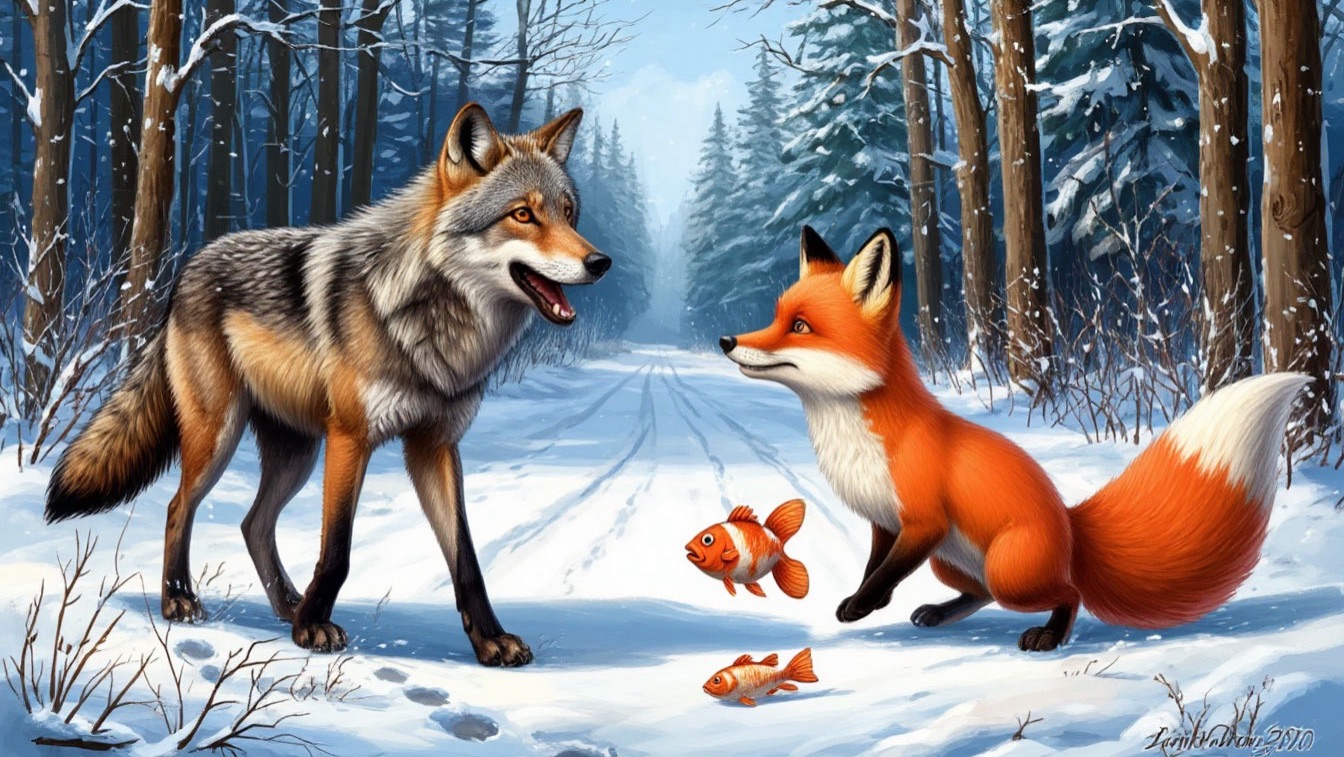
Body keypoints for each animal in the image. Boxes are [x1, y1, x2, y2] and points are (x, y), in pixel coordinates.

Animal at [44, 104, 609, 666]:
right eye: (523, 215)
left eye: (568, 213)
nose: (600, 262)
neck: (428, 321)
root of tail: (186, 270)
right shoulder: (350, 439)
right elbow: (337, 549)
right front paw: (313, 627)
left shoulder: (435, 446)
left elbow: (466, 559)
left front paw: (490, 638)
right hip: (219, 438)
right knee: (177, 507)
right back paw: (180, 599)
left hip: (296, 454)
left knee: (253, 524)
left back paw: (287, 603)